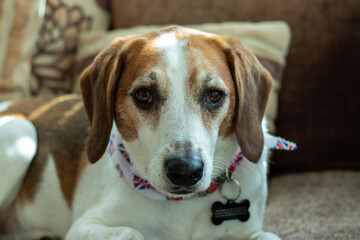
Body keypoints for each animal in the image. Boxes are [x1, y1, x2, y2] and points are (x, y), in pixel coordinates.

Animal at [0, 26, 282, 240]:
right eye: (144, 94)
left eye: (214, 95)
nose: (185, 171)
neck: (181, 206)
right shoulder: (84, 227)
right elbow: (132, 232)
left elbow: (269, 236)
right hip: (22, 131)